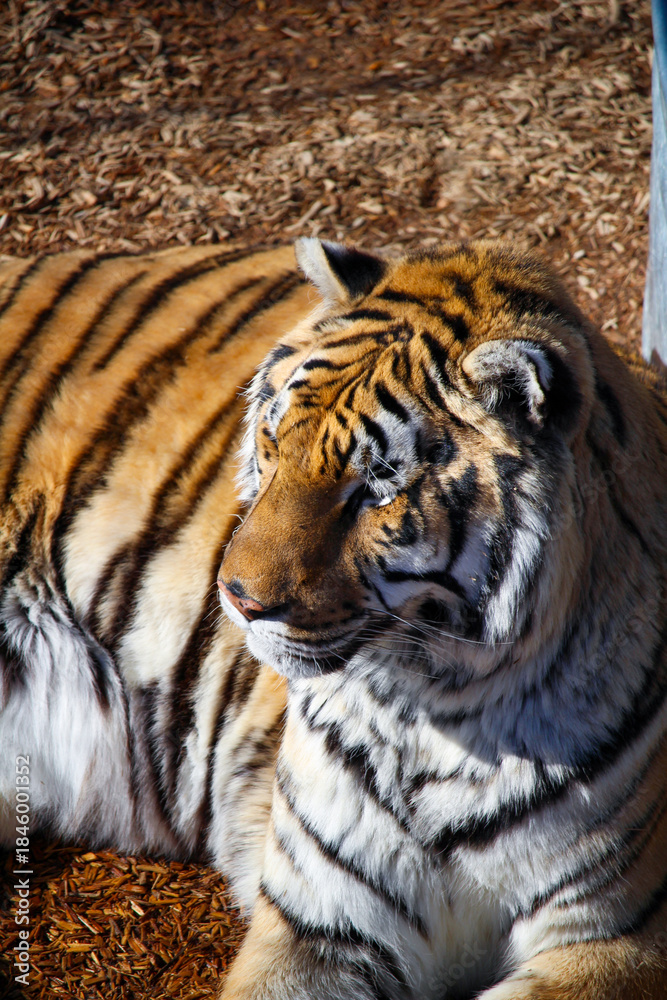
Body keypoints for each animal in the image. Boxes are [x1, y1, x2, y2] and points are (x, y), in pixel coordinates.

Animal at [0, 236, 666, 1000]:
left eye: (373, 489)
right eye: (273, 443)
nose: (236, 597)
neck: (440, 716)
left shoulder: (611, 937)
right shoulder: (316, 923)